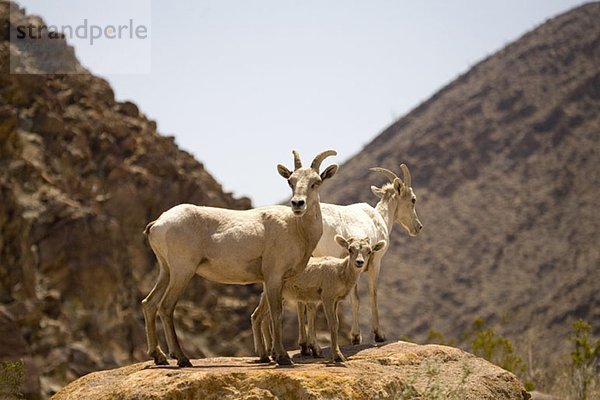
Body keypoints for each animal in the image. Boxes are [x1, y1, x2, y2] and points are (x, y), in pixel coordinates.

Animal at [141, 149, 338, 366]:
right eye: (290, 181)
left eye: (316, 182)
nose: (297, 204)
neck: (297, 230)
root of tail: (158, 224)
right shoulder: (274, 276)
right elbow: (276, 313)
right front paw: (283, 357)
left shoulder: (272, 280)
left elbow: (266, 313)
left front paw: (271, 355)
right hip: (182, 271)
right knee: (166, 307)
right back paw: (182, 358)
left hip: (166, 271)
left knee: (149, 304)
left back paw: (159, 357)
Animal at [252, 234, 384, 362]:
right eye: (350, 249)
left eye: (369, 251)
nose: (359, 262)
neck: (340, 273)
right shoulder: (327, 297)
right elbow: (332, 324)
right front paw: (338, 357)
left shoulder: (335, 301)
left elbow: (336, 323)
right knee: (257, 316)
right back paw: (265, 356)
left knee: (260, 317)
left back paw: (268, 355)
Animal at [298, 163, 422, 350]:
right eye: (413, 199)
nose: (418, 227)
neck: (380, 218)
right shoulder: (375, 262)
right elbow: (372, 294)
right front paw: (378, 335)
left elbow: (354, 299)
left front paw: (356, 337)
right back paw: (314, 346)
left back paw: (306, 345)